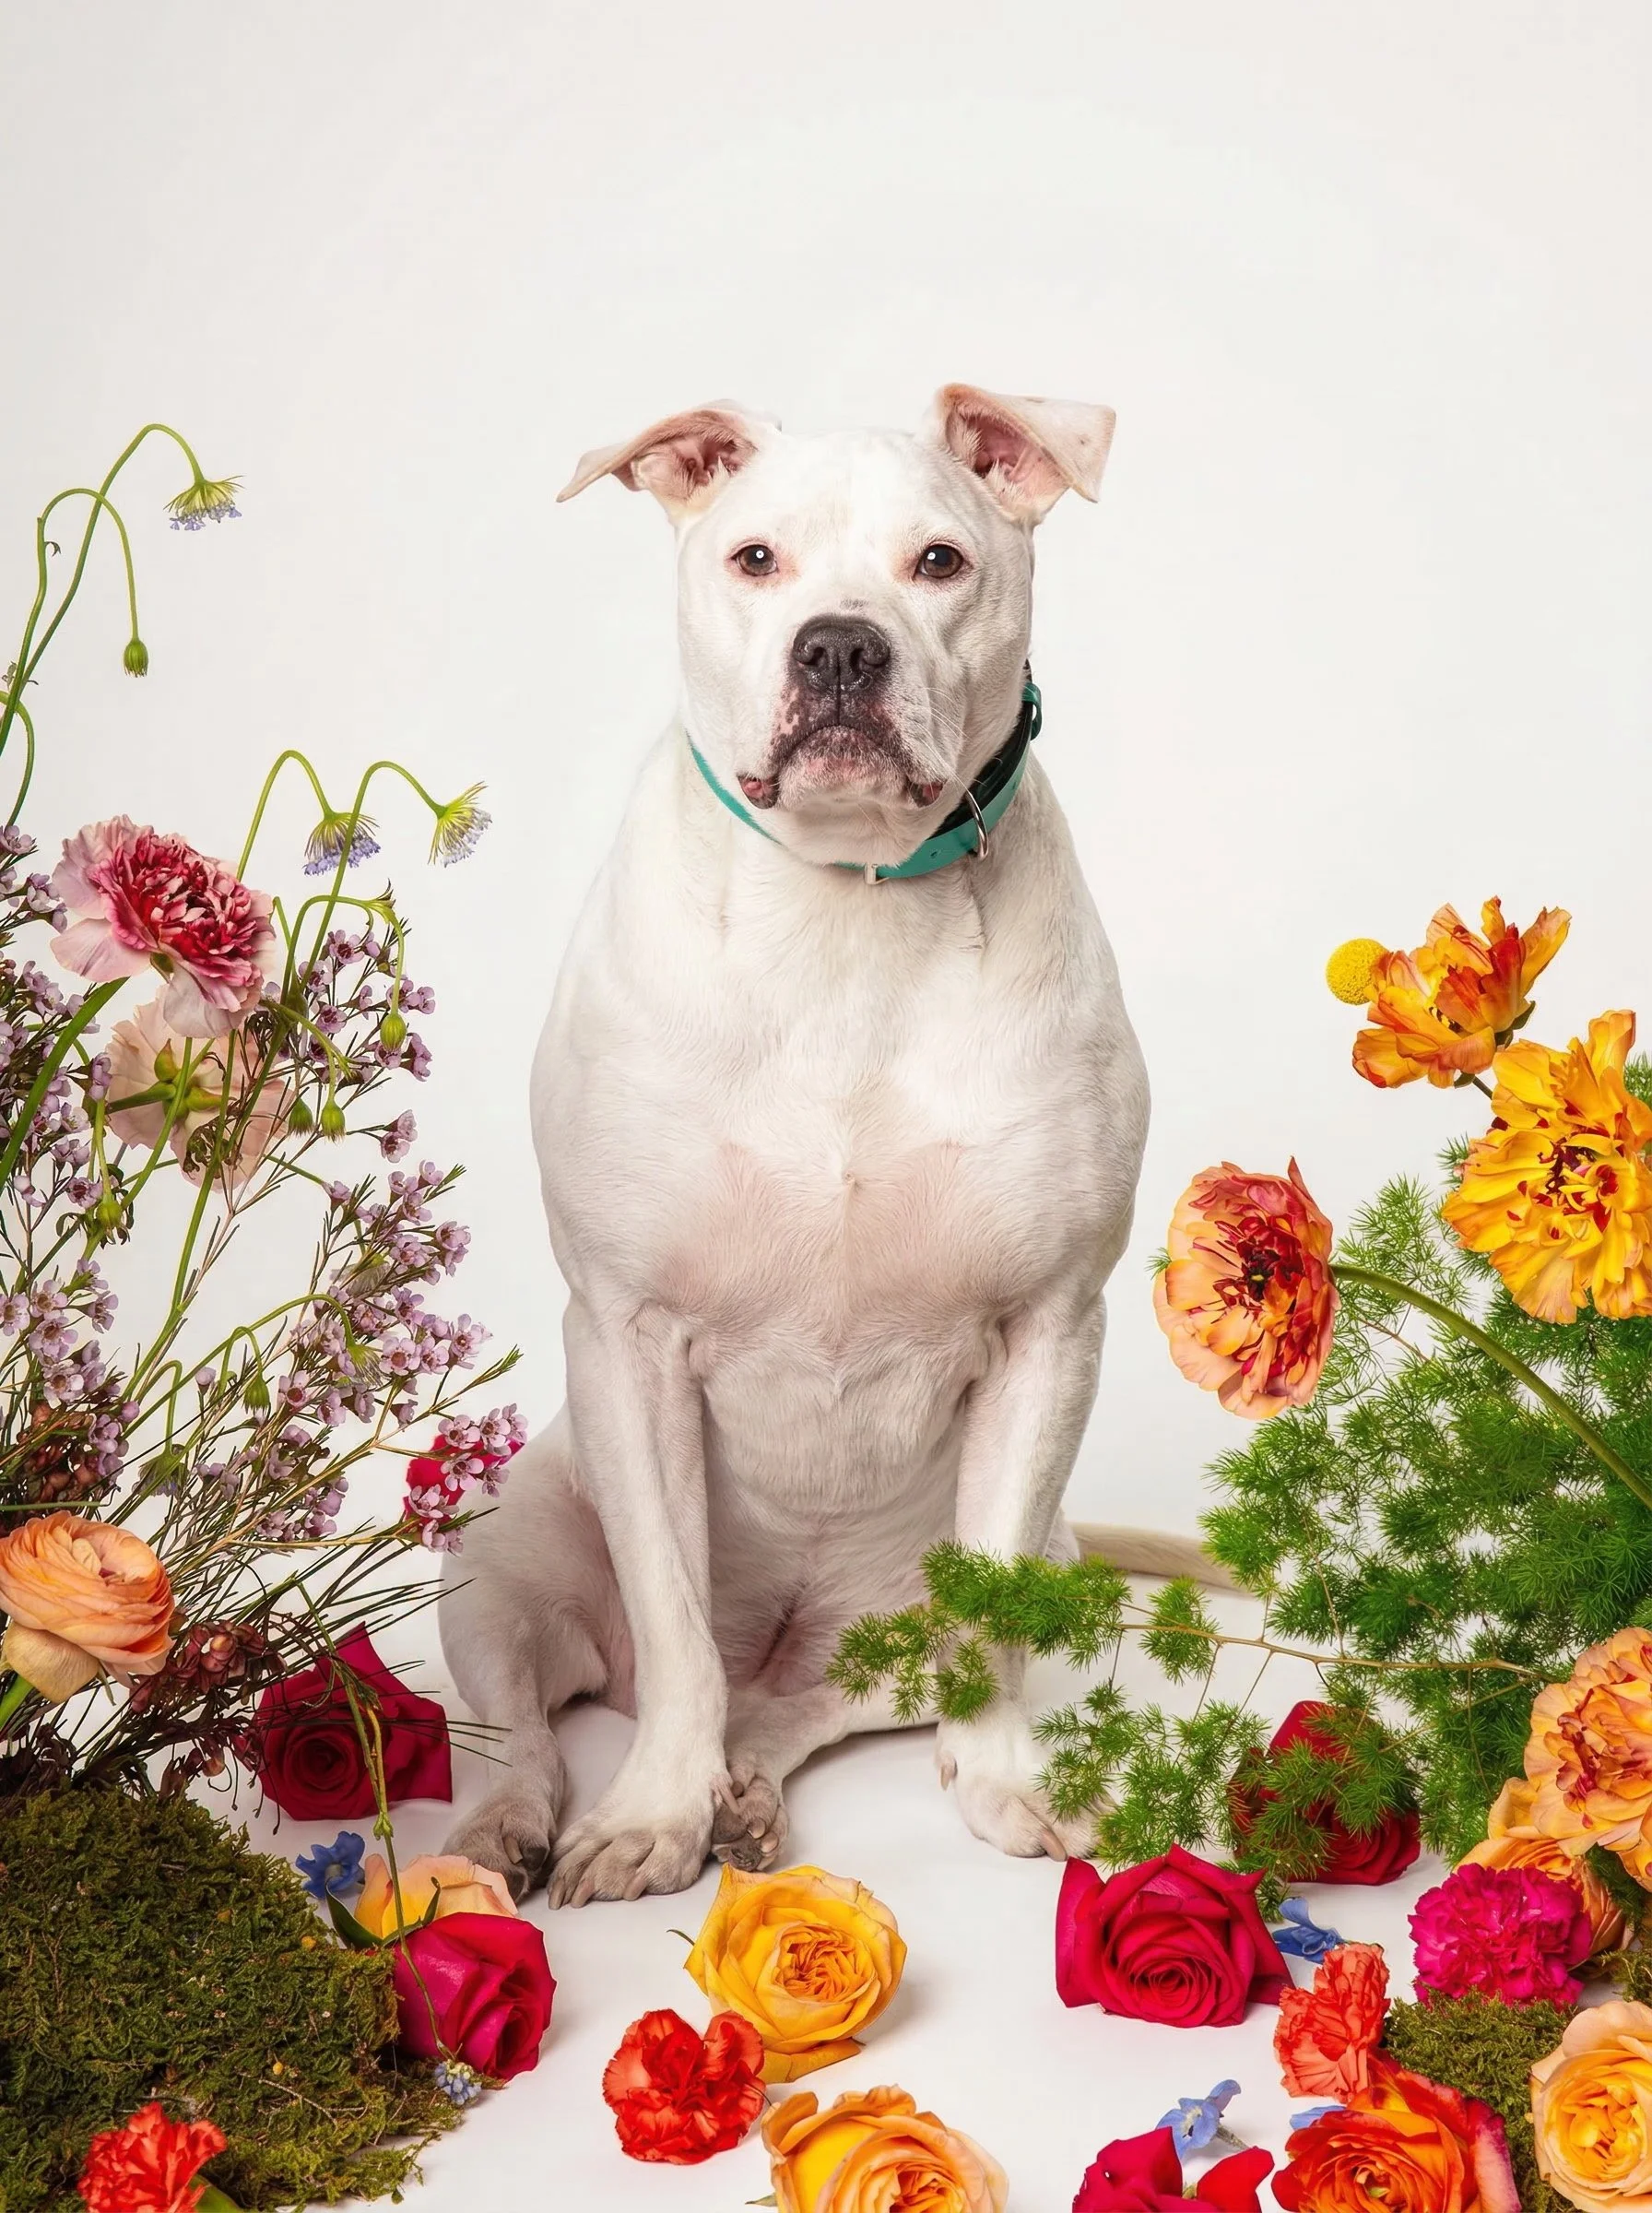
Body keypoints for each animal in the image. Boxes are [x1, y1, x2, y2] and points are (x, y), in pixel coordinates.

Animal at [440, 386, 1171, 1907]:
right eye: (755, 559)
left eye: (941, 561)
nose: (840, 644)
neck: (843, 904)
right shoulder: (629, 1332)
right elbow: (670, 1621)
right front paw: (648, 1816)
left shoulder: (1049, 1328)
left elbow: (986, 1622)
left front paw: (1005, 1784)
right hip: (492, 1566)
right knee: (534, 1724)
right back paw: (513, 1832)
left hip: (965, 1606)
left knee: (792, 1707)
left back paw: (751, 1802)